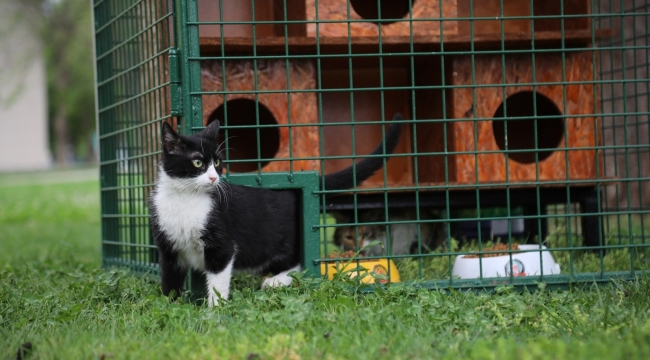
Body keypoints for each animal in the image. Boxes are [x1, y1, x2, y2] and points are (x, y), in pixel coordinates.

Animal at [148, 114, 400, 306]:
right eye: (198, 162)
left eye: (217, 163)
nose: (213, 177)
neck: (185, 198)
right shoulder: (167, 246)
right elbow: (170, 279)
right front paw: (171, 306)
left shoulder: (221, 243)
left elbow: (218, 278)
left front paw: (214, 310)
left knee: (301, 262)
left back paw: (276, 281)